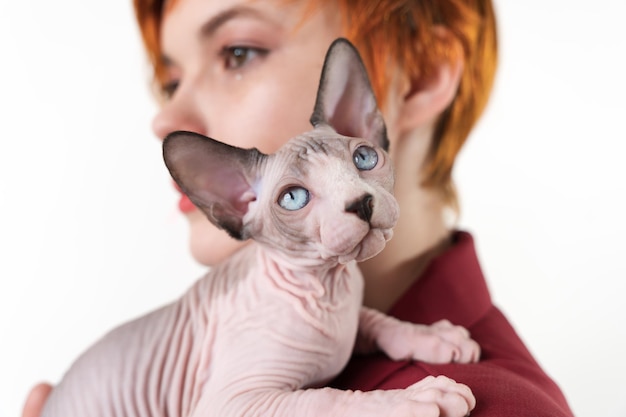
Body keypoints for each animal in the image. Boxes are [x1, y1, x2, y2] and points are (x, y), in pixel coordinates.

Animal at [40, 38, 478, 416]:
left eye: (365, 157)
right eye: (293, 198)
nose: (361, 203)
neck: (327, 291)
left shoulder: (352, 310)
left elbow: (374, 318)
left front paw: (435, 337)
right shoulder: (234, 401)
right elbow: (328, 398)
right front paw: (416, 399)